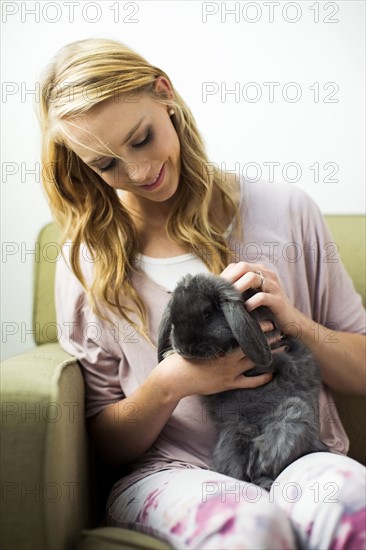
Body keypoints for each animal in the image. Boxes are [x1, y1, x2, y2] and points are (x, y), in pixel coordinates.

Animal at [157, 274, 328, 490]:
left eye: (206, 313)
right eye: (173, 319)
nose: (186, 348)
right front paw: (170, 353)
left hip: (293, 421)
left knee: (262, 465)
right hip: (231, 441)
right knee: (243, 471)